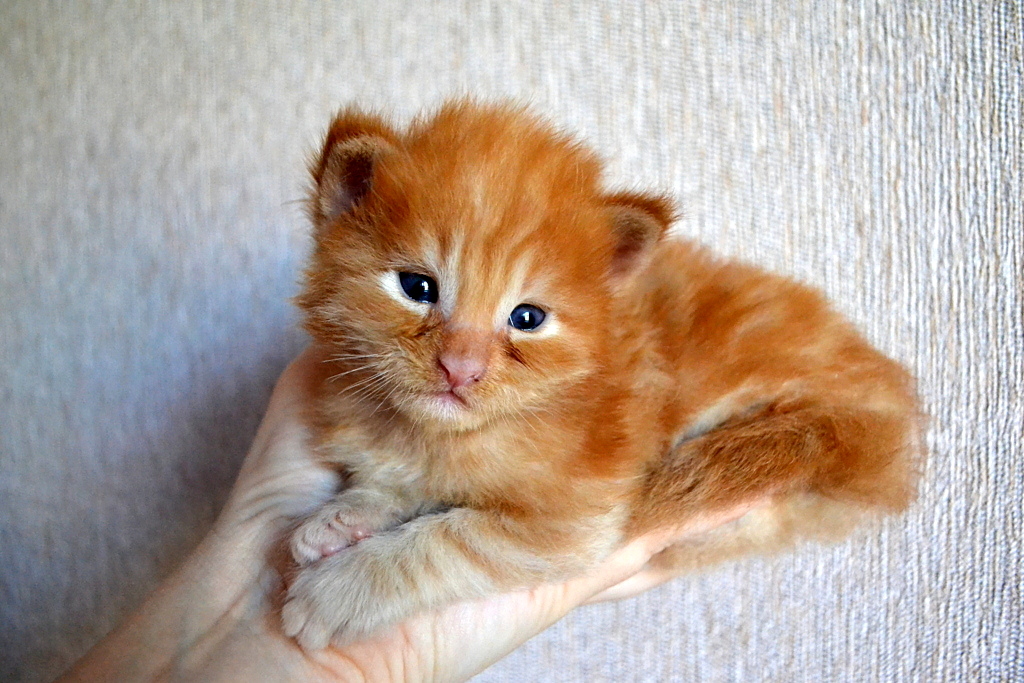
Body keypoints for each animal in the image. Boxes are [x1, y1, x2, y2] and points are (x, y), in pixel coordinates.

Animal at [280, 98, 921, 651]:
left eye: (527, 318)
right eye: (417, 287)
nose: (459, 369)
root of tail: (887, 412)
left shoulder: (570, 518)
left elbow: (443, 543)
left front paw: (335, 595)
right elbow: (400, 483)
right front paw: (344, 515)